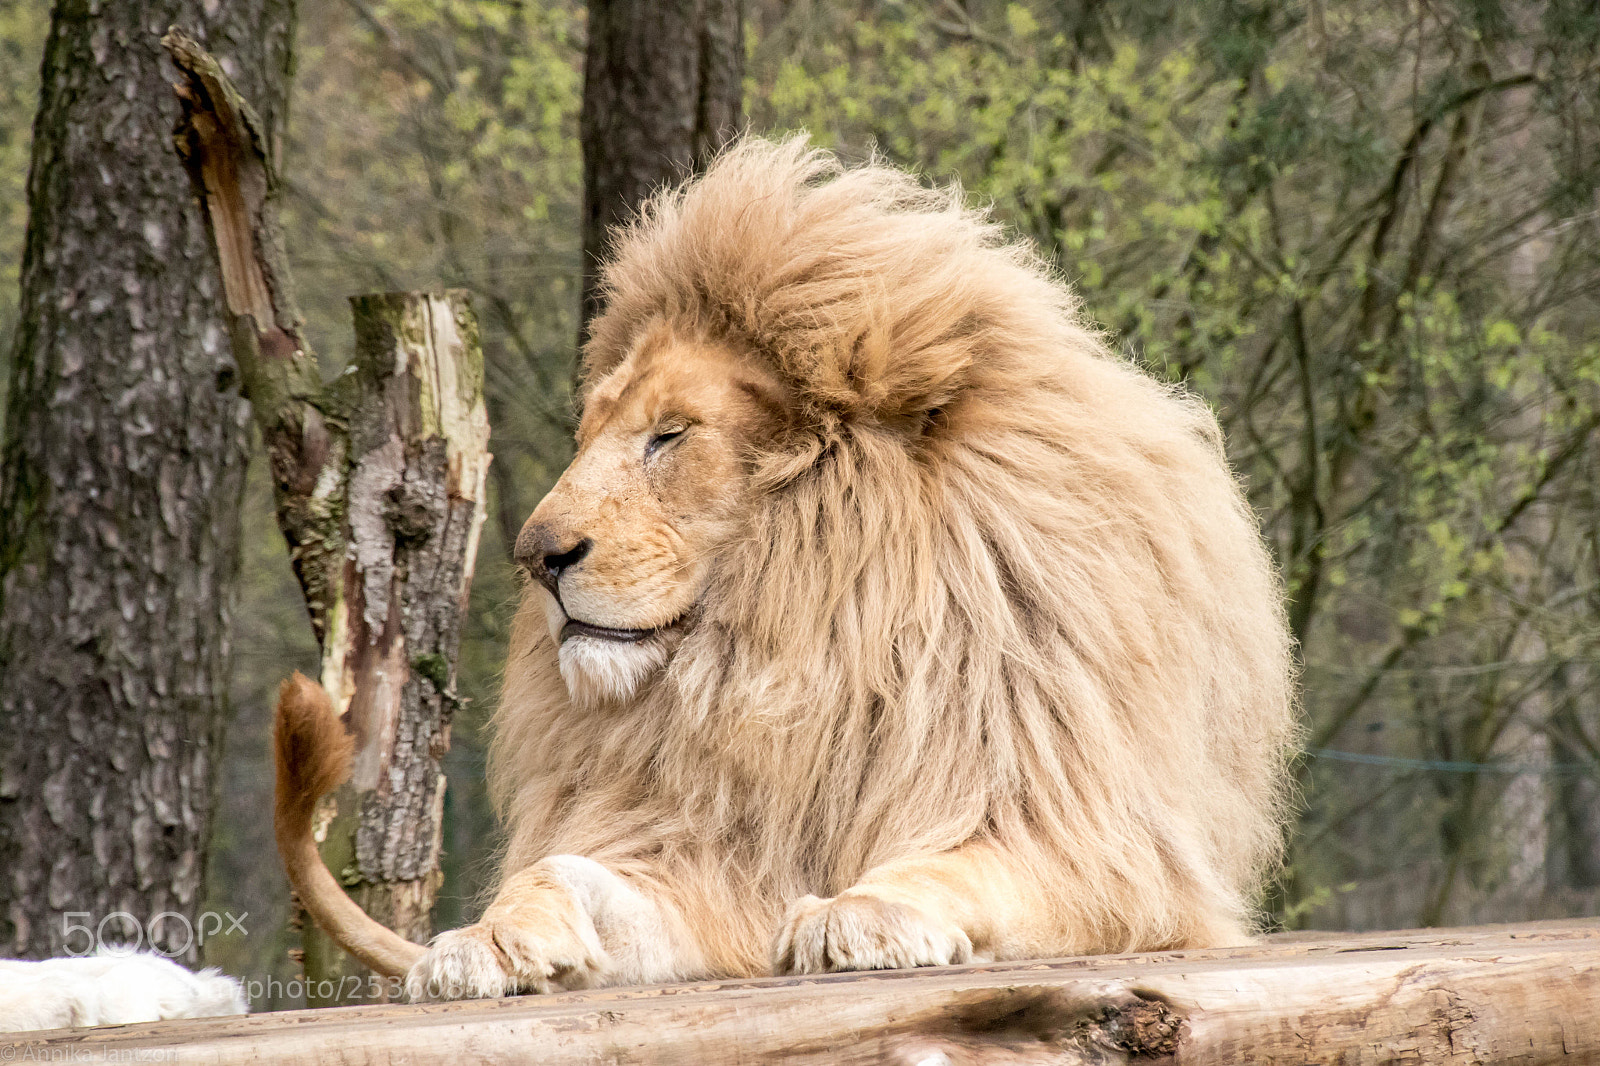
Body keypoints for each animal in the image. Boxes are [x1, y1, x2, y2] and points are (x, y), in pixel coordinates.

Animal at [276, 136, 1298, 1001]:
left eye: (670, 436)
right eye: (592, 432)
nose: (537, 554)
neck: (808, 654)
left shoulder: (1098, 848)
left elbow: (961, 865)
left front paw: (861, 913)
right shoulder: (713, 858)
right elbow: (562, 870)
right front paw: (486, 939)